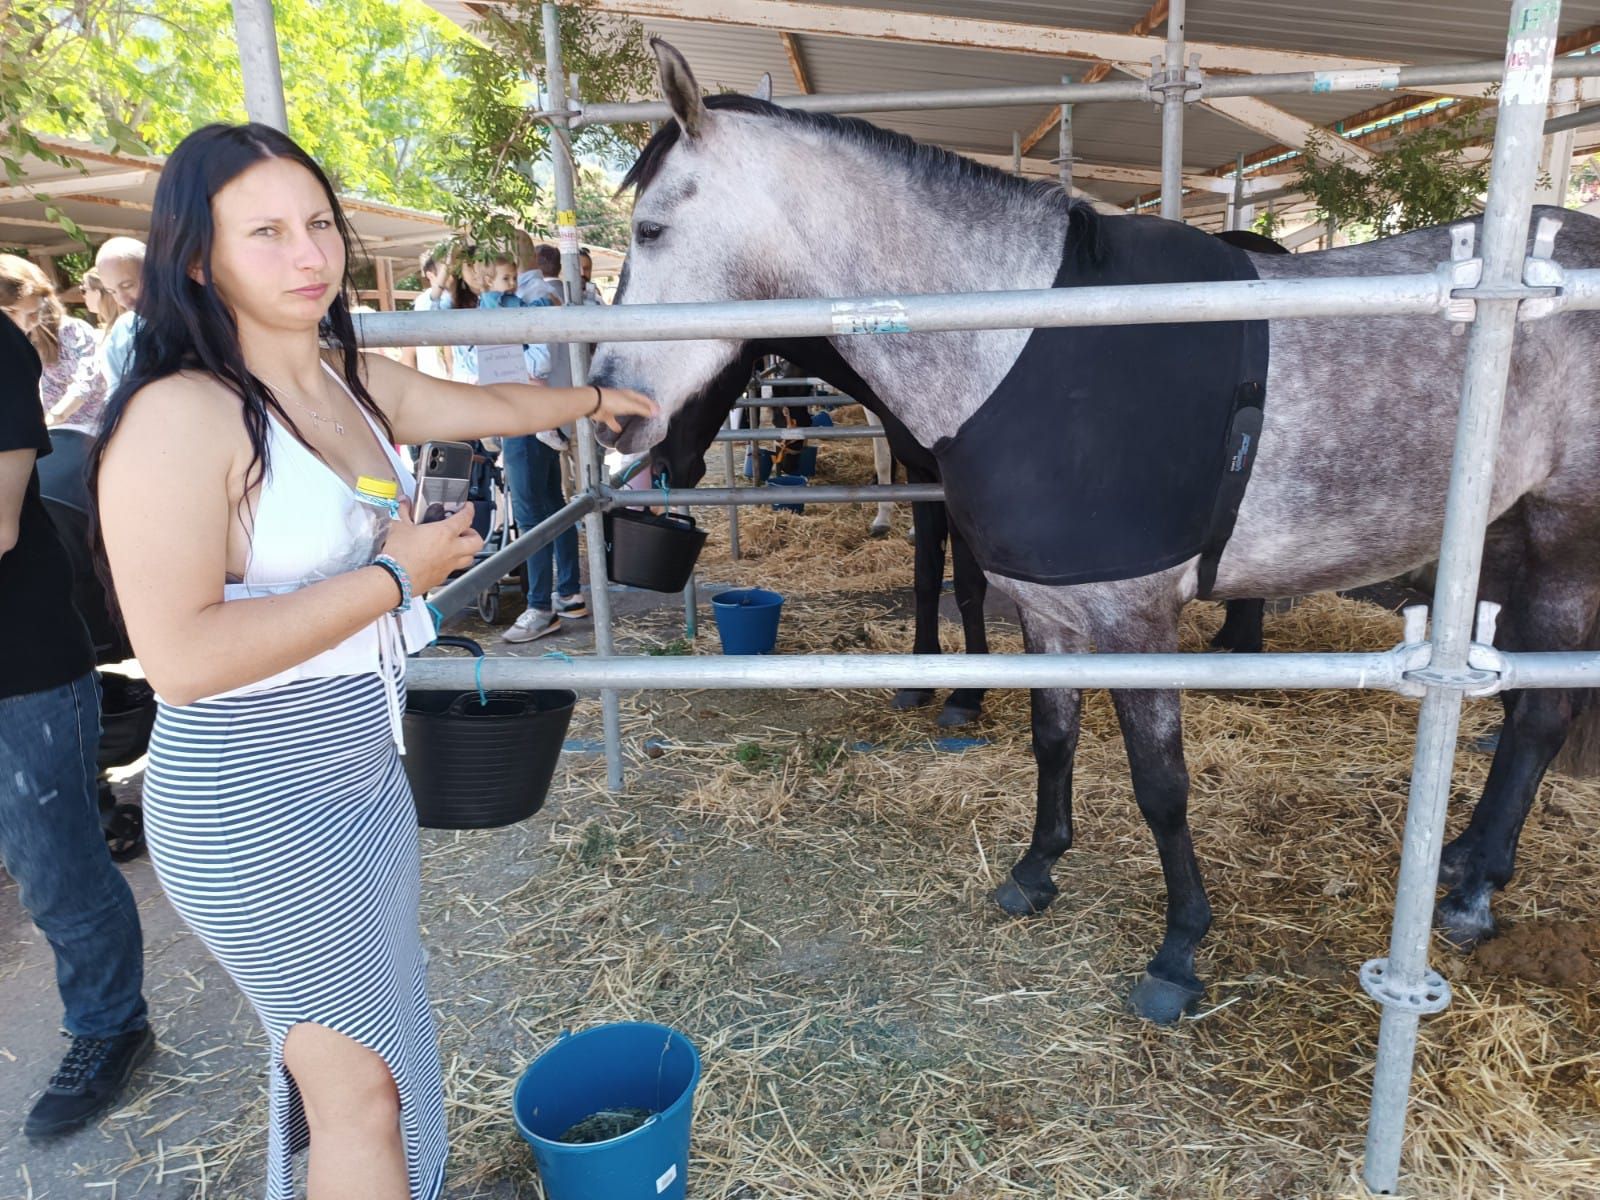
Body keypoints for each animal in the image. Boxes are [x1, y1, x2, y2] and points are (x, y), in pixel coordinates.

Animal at [595, 42, 1600, 1030]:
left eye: (651, 230)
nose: (612, 412)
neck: (1016, 339)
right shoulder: (1050, 610)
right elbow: (1053, 737)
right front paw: (1035, 870)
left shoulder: (1134, 616)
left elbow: (1160, 782)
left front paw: (1180, 949)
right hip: (1502, 537)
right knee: (1520, 706)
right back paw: (1460, 860)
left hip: (1566, 544)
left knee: (1540, 716)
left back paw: (1470, 897)